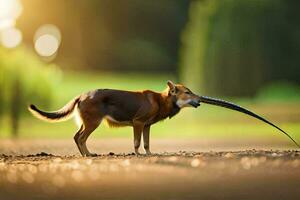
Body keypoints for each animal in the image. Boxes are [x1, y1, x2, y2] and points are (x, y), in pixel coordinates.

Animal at [28, 80, 202, 155]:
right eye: (187, 92)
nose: (200, 99)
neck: (161, 101)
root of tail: (81, 95)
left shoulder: (147, 126)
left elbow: (146, 143)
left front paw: (149, 155)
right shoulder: (138, 123)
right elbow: (137, 142)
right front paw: (137, 155)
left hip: (86, 122)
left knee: (76, 137)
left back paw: (84, 154)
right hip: (93, 122)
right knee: (81, 138)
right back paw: (88, 155)